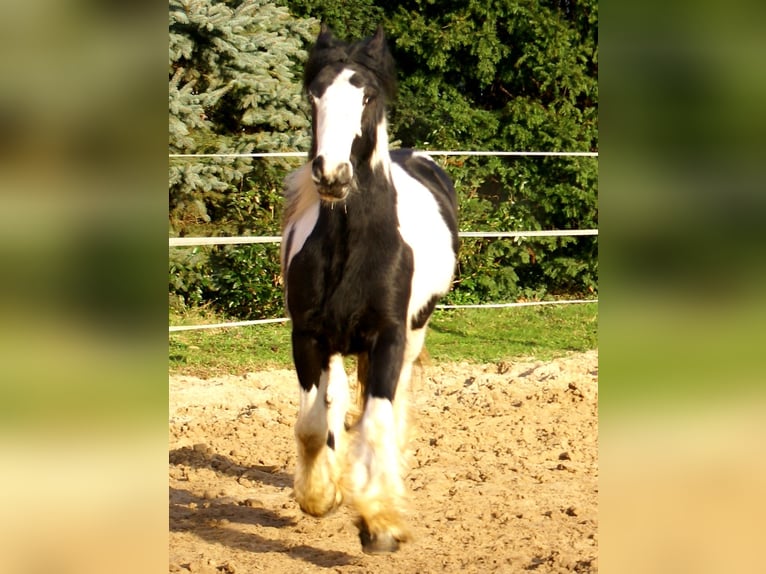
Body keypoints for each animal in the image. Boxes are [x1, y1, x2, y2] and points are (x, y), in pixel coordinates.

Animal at [282, 24, 462, 556]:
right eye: (314, 94)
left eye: (367, 96)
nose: (332, 174)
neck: (353, 244)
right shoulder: (308, 336)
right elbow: (313, 424)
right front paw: (321, 495)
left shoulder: (387, 337)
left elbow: (378, 420)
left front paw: (380, 522)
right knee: (338, 400)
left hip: (413, 335)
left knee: (390, 407)